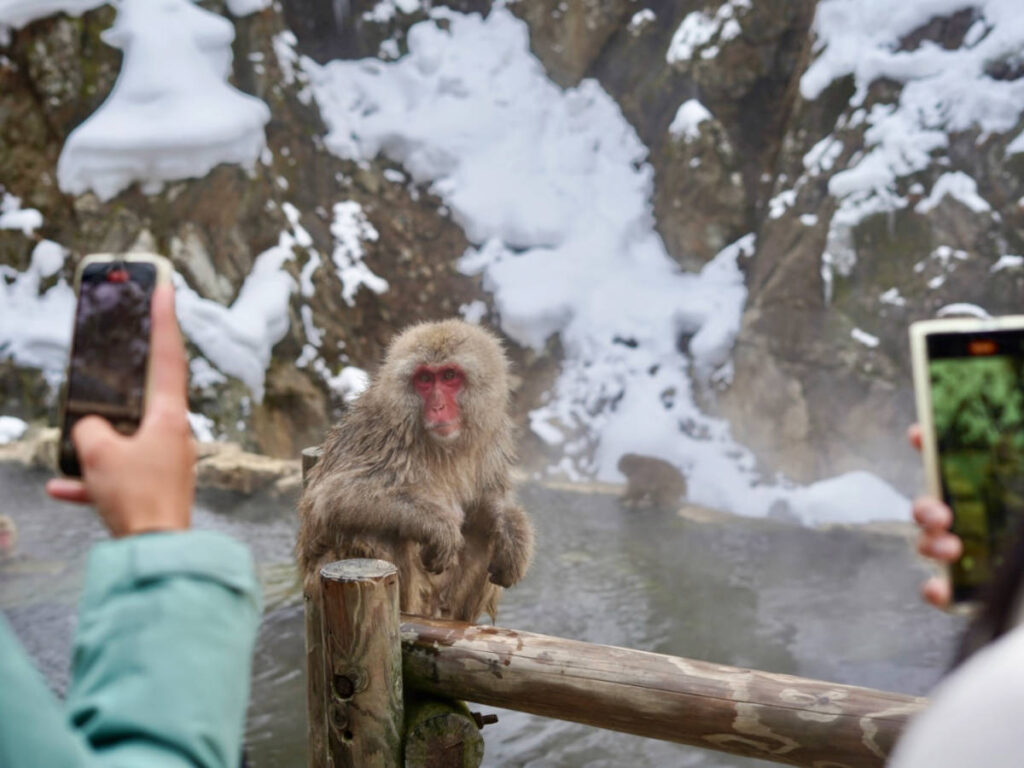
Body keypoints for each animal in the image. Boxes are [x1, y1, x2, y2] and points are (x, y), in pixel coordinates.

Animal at [297, 319, 534, 622]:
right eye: (424, 379)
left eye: (449, 376)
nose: (438, 406)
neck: (442, 447)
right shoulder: (382, 437)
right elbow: (334, 496)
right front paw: (438, 526)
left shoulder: (489, 442)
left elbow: (487, 499)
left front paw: (513, 530)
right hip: (319, 585)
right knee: (375, 530)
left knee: (482, 527)